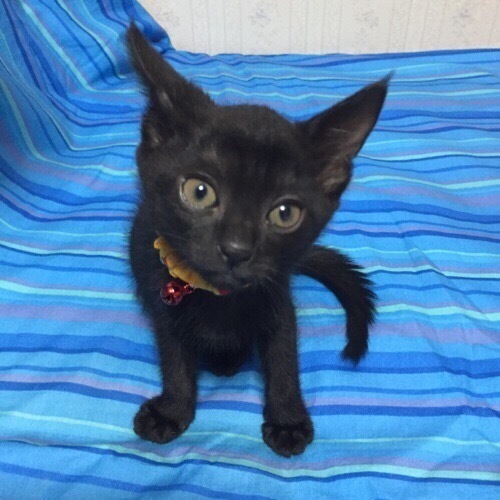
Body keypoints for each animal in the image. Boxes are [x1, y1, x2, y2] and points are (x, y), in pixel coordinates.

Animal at [126, 23, 388, 457]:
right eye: (199, 191)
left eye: (285, 213)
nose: (236, 249)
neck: (219, 298)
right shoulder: (163, 300)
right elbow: (174, 356)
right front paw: (171, 411)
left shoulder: (277, 296)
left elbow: (284, 355)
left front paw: (287, 420)